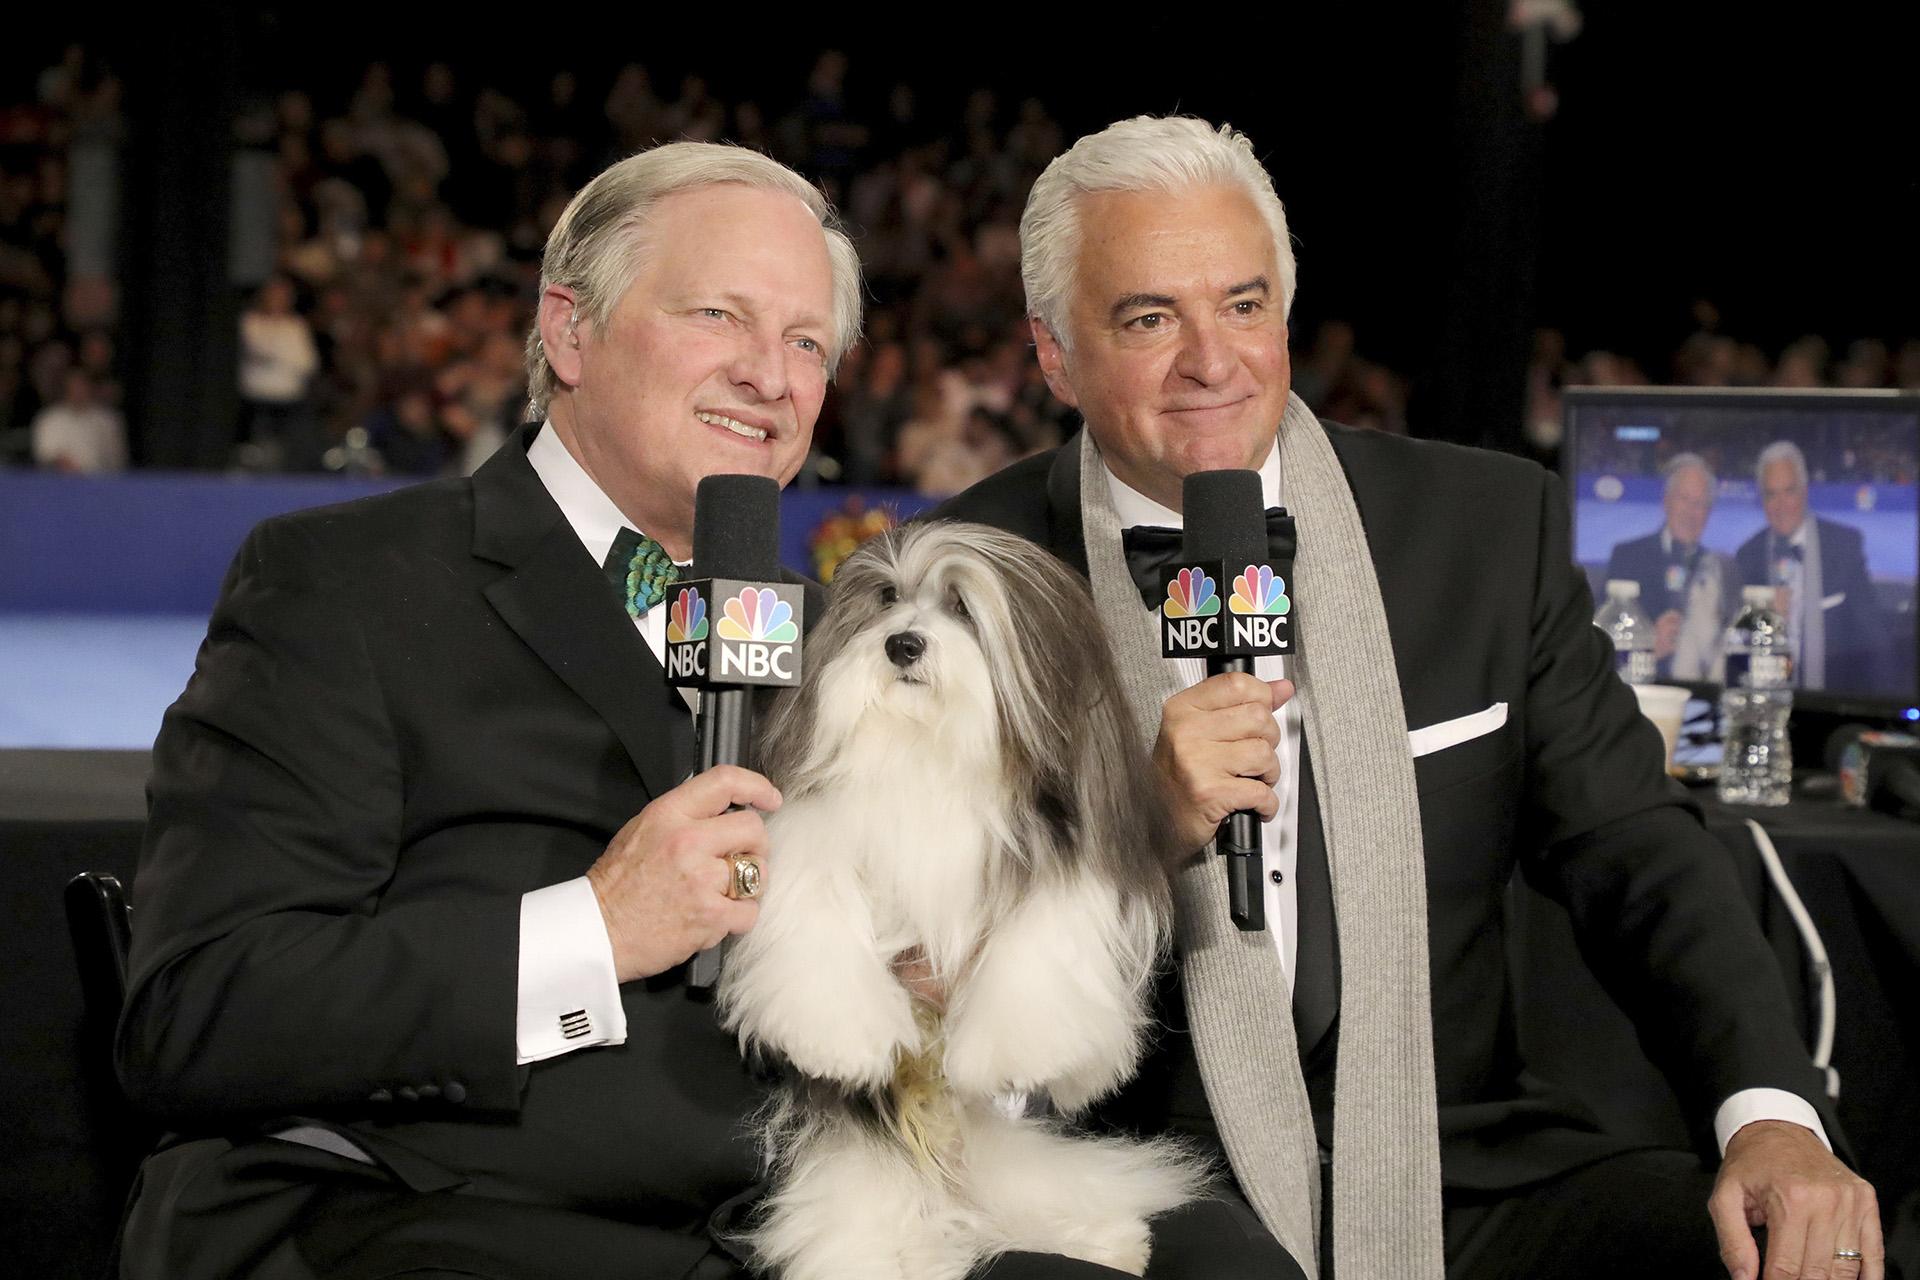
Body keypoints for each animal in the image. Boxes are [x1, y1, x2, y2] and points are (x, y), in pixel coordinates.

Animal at [721, 521, 1198, 1280]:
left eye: (963, 609)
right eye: (887, 599)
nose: (902, 645)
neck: (927, 749)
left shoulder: (1074, 845)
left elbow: (1044, 938)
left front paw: (1019, 1047)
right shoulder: (813, 829)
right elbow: (818, 916)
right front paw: (841, 1033)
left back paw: (1100, 1238)